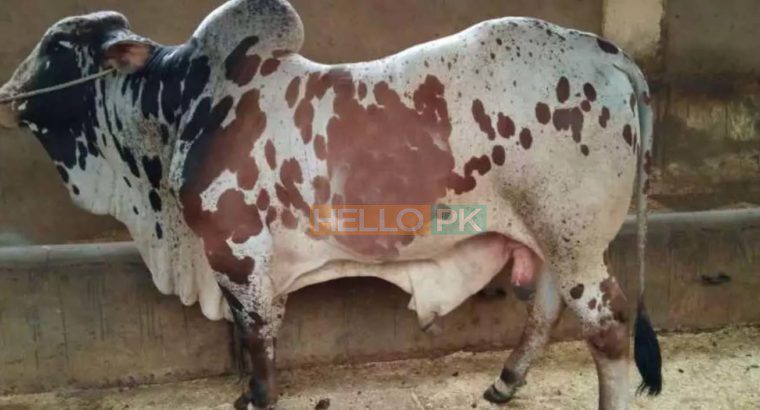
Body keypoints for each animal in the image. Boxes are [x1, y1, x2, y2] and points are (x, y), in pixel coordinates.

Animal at [0, 0, 662, 408]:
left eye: (56, 43)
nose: (8, 92)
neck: (181, 105)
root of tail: (603, 49)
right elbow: (259, 334)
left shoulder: (237, 254)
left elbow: (256, 337)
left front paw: (256, 398)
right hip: (551, 237)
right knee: (546, 308)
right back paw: (504, 382)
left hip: (575, 239)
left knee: (607, 330)